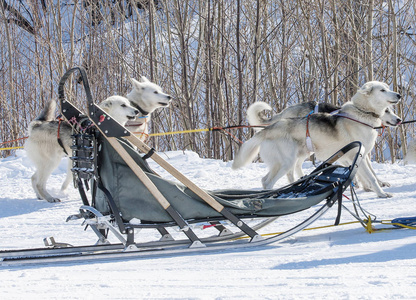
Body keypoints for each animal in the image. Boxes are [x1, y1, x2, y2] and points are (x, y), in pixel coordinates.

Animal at [234, 82, 400, 198]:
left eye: (387, 87)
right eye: (382, 90)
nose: (398, 95)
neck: (362, 114)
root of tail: (270, 128)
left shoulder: (362, 156)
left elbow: (370, 175)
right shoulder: (356, 155)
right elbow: (371, 177)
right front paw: (381, 193)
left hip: (294, 158)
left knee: (270, 179)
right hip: (286, 162)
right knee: (268, 182)